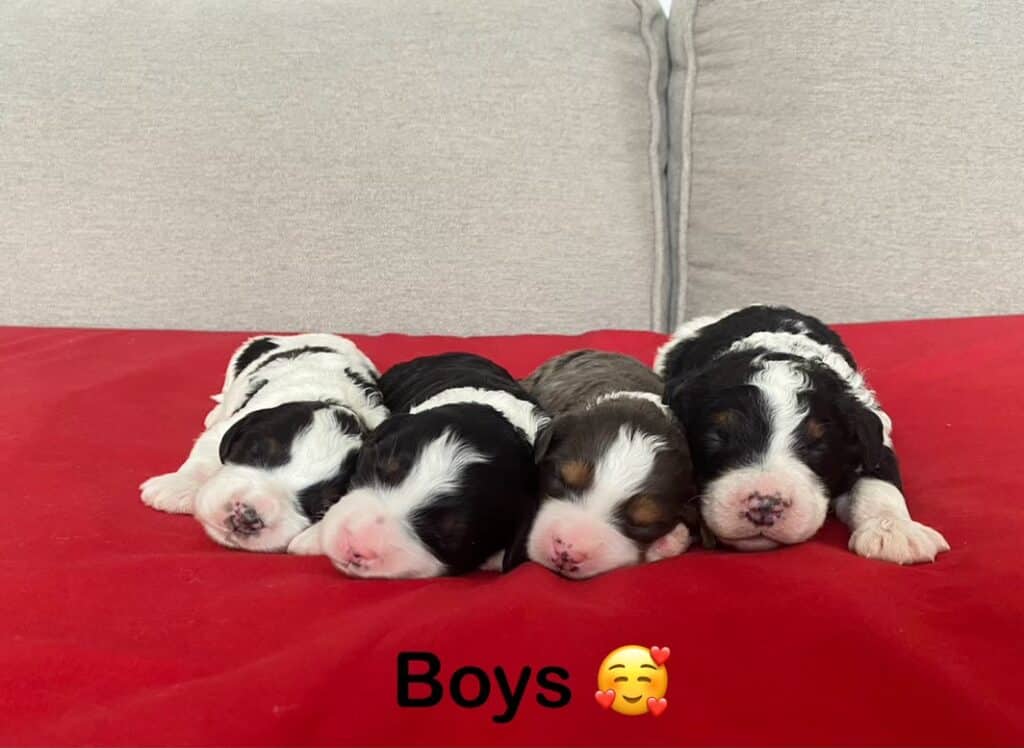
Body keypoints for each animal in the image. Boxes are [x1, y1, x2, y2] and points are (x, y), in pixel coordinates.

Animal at [140, 331, 387, 549]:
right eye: (254, 451)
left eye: (323, 506)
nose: (248, 517)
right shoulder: (235, 422)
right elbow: (206, 453)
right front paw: (175, 487)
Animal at [655, 301, 950, 557]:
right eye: (718, 436)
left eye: (817, 445)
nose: (765, 506)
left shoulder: (872, 434)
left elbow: (880, 478)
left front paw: (893, 530)